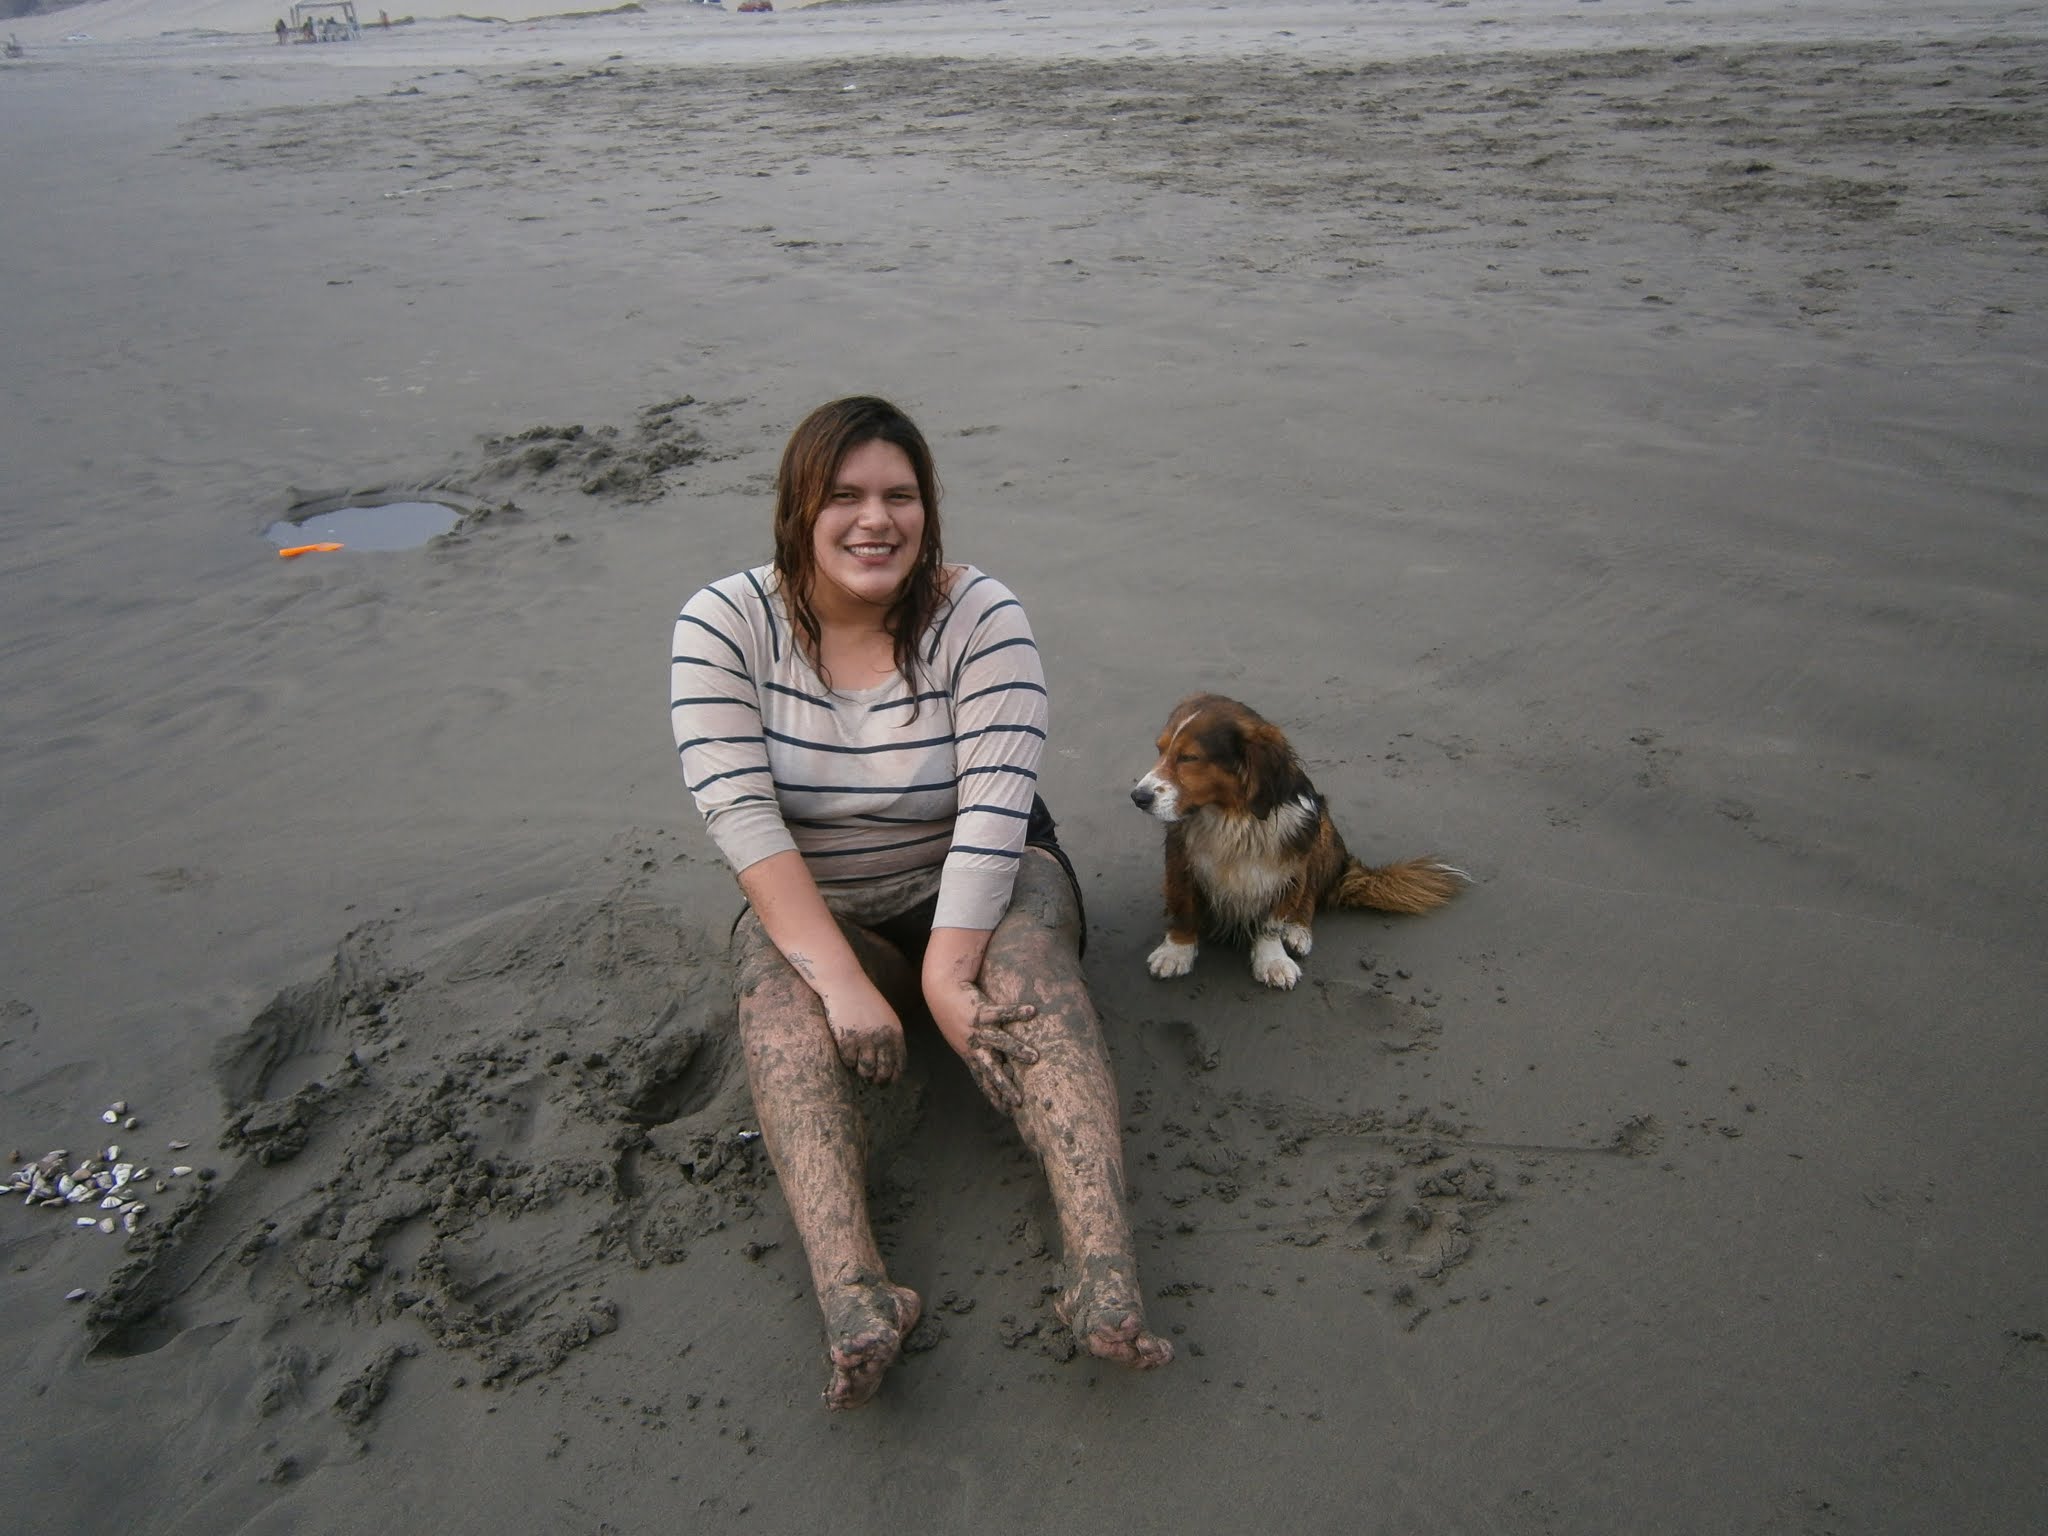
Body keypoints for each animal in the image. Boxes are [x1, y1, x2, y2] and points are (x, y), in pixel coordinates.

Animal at [1130, 696, 1466, 991]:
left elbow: (1272, 922)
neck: (1233, 817)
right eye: (1160, 750)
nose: (1138, 797)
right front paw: (1176, 951)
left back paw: (1298, 930)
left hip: (1322, 834)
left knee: (1310, 897)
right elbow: (1184, 908)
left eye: (1189, 758)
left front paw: (1272, 960)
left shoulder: (1288, 870)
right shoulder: (1181, 861)